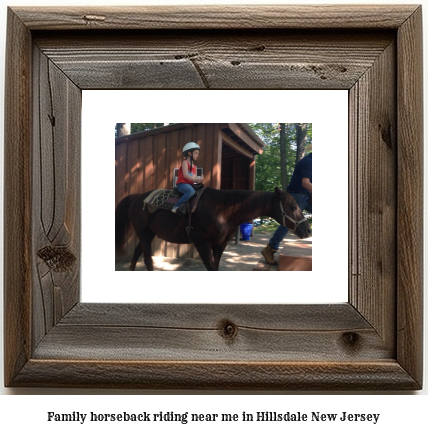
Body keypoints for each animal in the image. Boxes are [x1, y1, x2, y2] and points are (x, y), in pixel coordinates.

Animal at [115, 186, 310, 272]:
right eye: (293, 206)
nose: (308, 230)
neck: (223, 209)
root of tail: (136, 197)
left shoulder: (220, 245)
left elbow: (216, 268)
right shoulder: (202, 244)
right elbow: (210, 268)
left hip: (148, 234)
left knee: (137, 252)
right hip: (145, 234)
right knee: (147, 259)